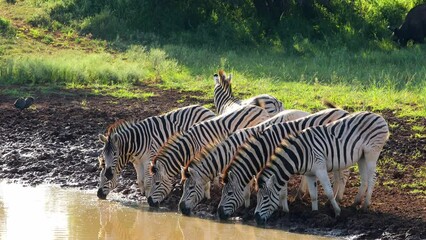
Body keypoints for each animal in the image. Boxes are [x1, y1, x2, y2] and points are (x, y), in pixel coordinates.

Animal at [216, 108, 350, 220]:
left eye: (229, 193)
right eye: (222, 193)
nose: (219, 213)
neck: (266, 147)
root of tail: (344, 111)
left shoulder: (282, 164)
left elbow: (282, 191)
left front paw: (284, 210)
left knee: (342, 178)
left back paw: (338, 200)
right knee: (338, 178)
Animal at [253, 111, 390, 224]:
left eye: (265, 198)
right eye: (257, 197)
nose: (256, 218)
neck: (301, 153)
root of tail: (378, 116)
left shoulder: (320, 168)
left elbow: (329, 192)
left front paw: (337, 212)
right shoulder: (309, 173)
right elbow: (314, 195)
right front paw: (314, 214)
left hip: (372, 152)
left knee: (372, 178)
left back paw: (365, 206)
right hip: (361, 156)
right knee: (364, 179)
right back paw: (355, 203)